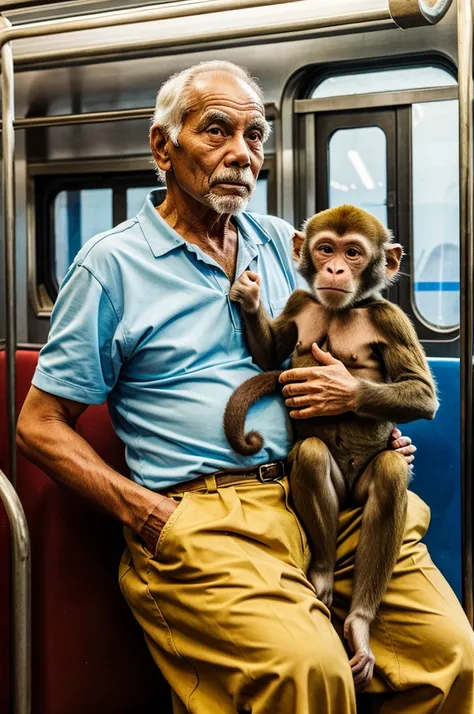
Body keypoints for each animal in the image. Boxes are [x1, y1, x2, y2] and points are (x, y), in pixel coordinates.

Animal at [224, 203, 438, 688]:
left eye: (353, 253)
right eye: (325, 249)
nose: (336, 269)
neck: (343, 309)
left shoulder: (390, 319)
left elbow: (422, 393)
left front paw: (335, 387)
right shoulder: (300, 302)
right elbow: (270, 355)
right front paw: (249, 297)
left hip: (359, 492)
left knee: (389, 475)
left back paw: (359, 621)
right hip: (338, 491)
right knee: (311, 456)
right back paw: (322, 572)